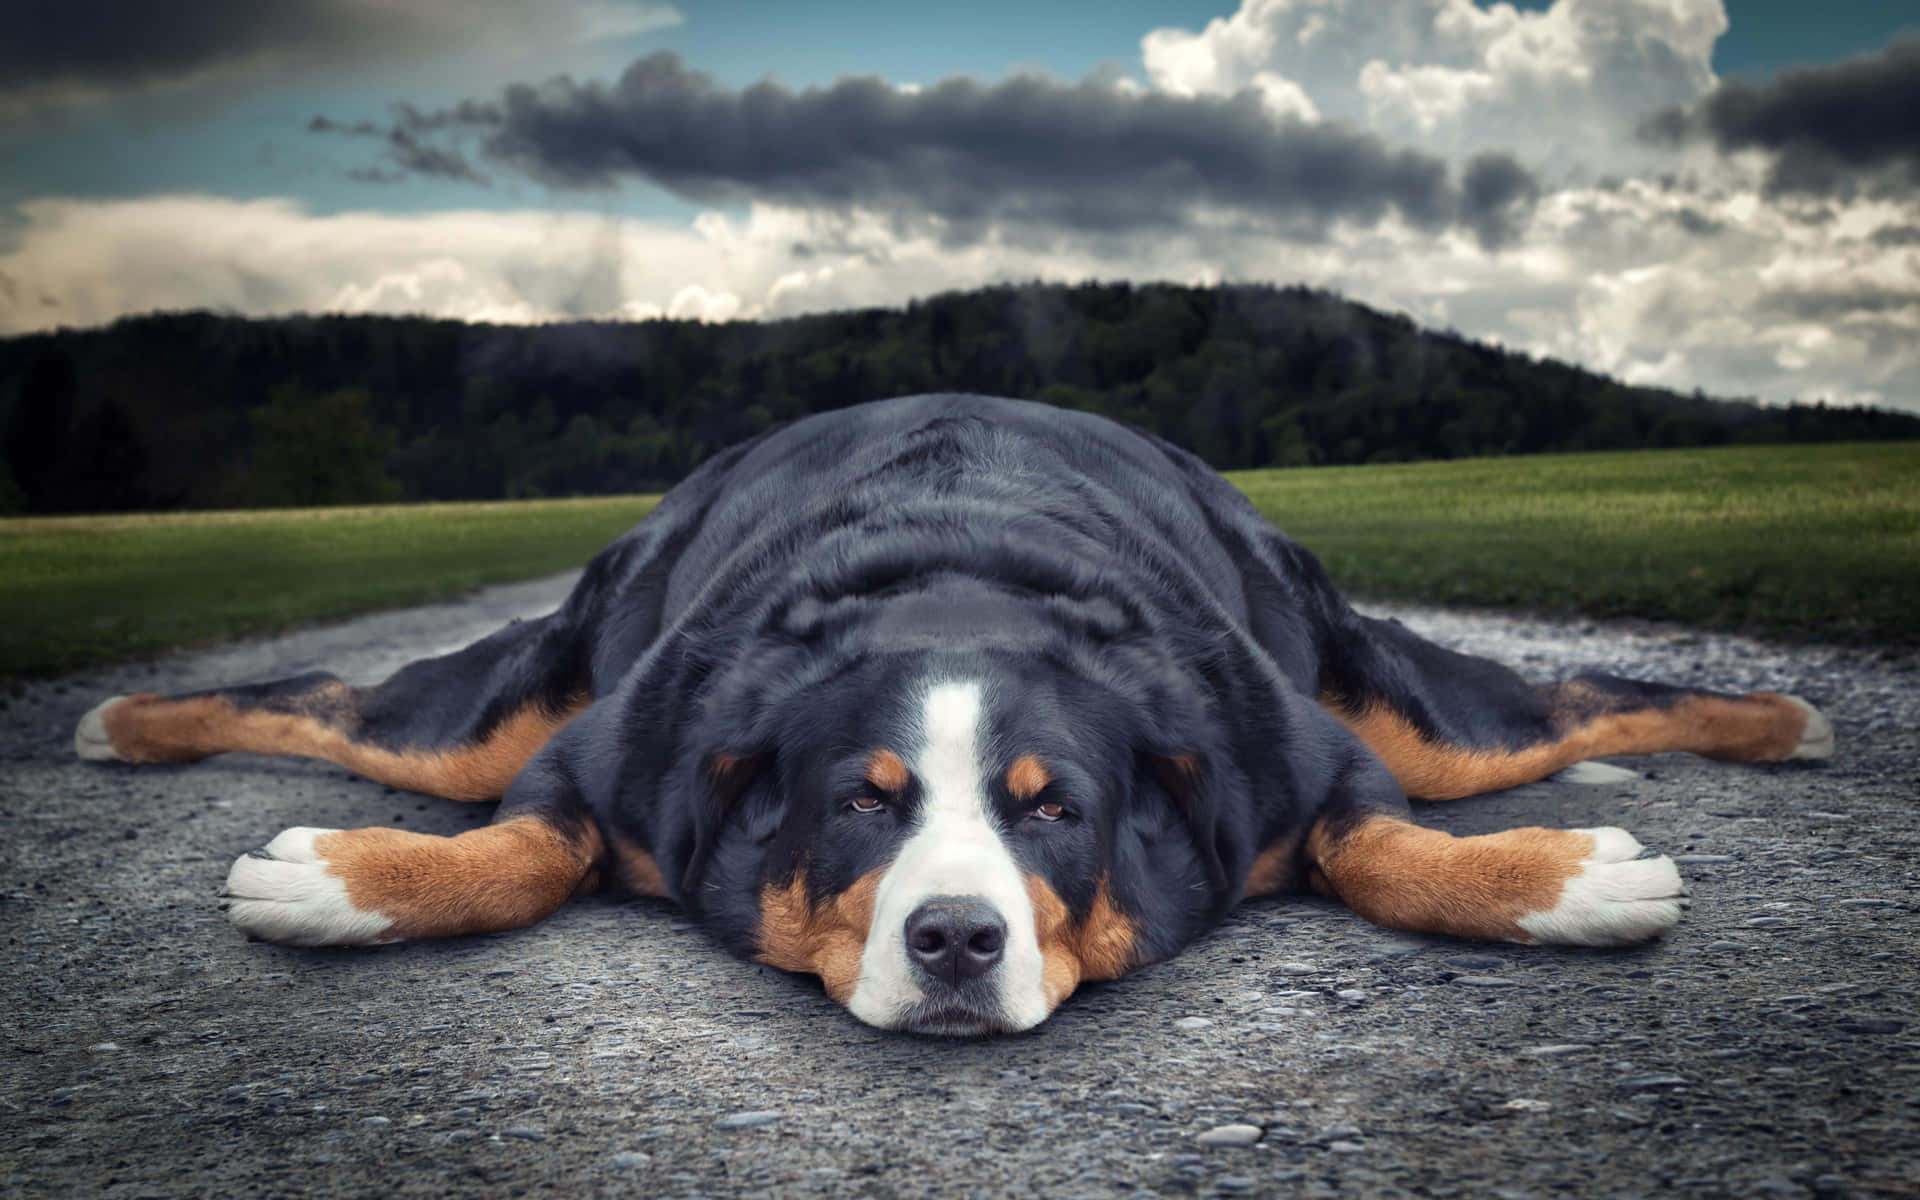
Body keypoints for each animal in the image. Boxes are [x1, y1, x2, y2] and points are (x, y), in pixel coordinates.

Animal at [74, 393, 1827, 1029]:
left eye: (1056, 809)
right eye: (862, 798)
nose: (958, 941)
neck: (957, 586)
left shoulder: (1293, 748)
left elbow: (1387, 847)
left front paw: (1567, 885)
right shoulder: (616, 748)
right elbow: (518, 848)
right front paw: (343, 882)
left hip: (1400, 700)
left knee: (1568, 701)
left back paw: (1779, 716)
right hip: (505, 698)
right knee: (335, 700)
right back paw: (124, 719)